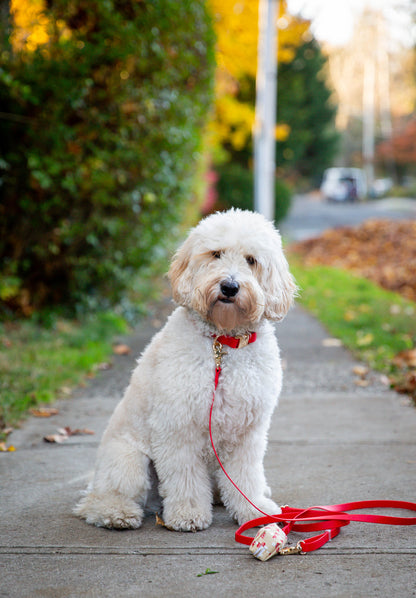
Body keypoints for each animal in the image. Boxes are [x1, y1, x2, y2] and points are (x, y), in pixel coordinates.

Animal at [74, 211, 296, 536]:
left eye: (251, 260)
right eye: (216, 254)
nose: (230, 286)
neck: (222, 343)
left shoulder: (247, 432)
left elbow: (245, 476)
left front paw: (253, 509)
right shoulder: (178, 427)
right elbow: (185, 477)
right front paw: (188, 514)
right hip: (129, 462)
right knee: (100, 500)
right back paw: (117, 512)